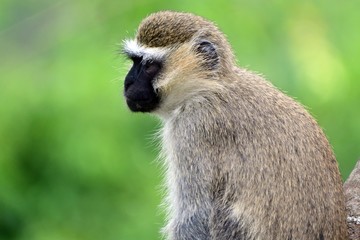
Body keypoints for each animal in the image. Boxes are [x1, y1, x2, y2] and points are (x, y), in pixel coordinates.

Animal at [121, 10, 348, 238]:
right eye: (134, 62)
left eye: (149, 66)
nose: (128, 83)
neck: (208, 89)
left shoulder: (193, 129)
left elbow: (198, 215)